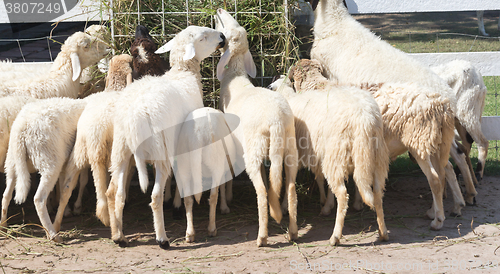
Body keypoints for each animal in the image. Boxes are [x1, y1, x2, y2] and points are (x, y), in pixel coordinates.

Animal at [103, 25, 227, 248]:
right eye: (203, 38)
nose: (222, 37)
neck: (184, 73)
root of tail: (134, 115)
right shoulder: (178, 143)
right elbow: (179, 178)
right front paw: (177, 204)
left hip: (120, 149)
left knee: (113, 193)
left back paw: (118, 235)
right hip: (159, 150)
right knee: (154, 196)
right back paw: (162, 238)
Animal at [214, 8, 298, 247]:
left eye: (227, 30)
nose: (219, 10)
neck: (234, 77)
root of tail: (276, 120)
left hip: (254, 148)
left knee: (261, 190)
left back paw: (262, 236)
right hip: (289, 147)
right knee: (290, 186)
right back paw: (293, 230)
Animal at [270, 74, 390, 245]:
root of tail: (365, 118)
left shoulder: (296, 155)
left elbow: (289, 183)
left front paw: (285, 206)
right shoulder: (318, 154)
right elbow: (320, 179)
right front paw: (325, 200)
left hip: (337, 153)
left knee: (342, 194)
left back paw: (335, 237)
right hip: (376, 156)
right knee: (378, 193)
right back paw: (383, 232)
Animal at [292, 58, 462, 228]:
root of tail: (442, 105)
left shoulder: (331, 147)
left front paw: (327, 206)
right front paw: (358, 203)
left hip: (419, 141)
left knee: (434, 179)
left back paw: (438, 221)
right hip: (434, 143)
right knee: (445, 172)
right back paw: (445, 209)